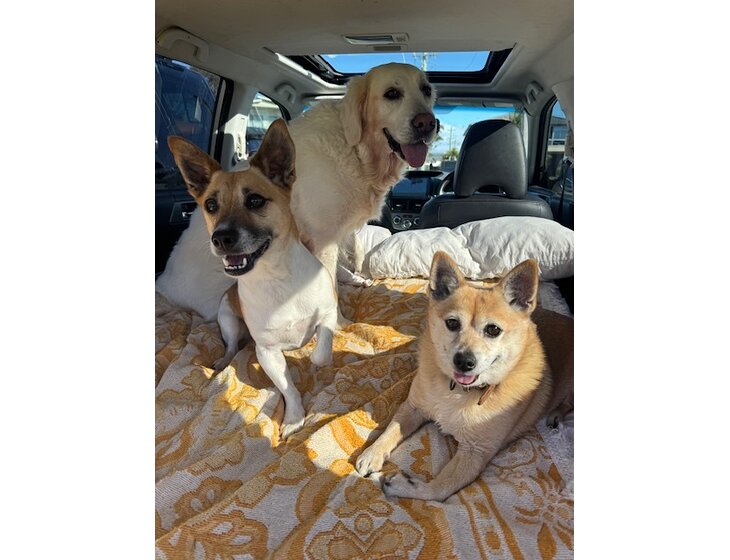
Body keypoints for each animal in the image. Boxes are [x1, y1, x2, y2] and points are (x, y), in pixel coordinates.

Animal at [156, 63, 438, 320]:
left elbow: (352, 248)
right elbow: (329, 286)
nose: (428, 123)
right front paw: (340, 323)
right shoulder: (322, 239)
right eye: (392, 94)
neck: (357, 150)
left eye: (426, 90)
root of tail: (164, 289)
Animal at [167, 119, 338, 440]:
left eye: (255, 200)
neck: (278, 279)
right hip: (228, 320)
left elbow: (321, 350)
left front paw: (313, 355)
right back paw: (222, 362)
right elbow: (288, 387)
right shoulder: (267, 352)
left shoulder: (329, 313)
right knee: (232, 347)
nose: (220, 238)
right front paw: (294, 417)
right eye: (211, 205)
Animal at [355, 252, 573, 501]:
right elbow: (391, 429)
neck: (459, 391)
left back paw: (556, 414)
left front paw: (404, 485)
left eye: (493, 330)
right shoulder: (413, 407)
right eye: (452, 323)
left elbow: (439, 489)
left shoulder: (474, 452)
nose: (464, 361)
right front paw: (372, 453)